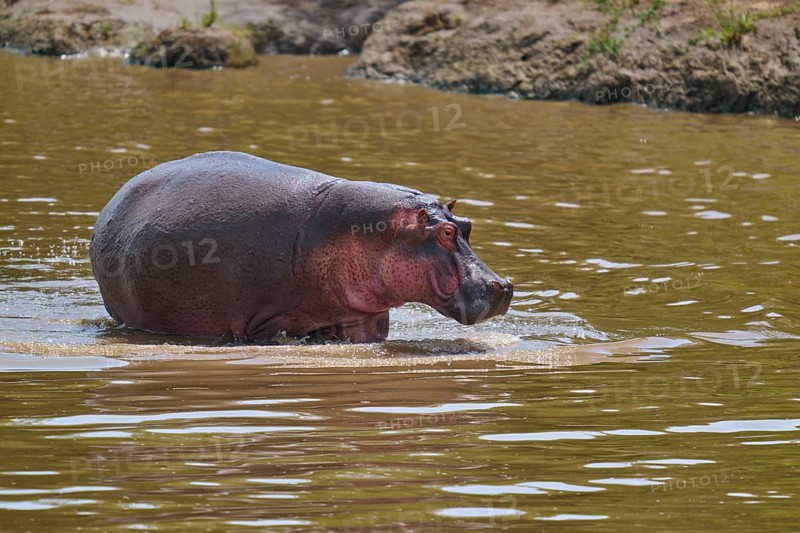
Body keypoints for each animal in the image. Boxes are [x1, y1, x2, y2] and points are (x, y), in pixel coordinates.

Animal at [90, 151, 513, 343]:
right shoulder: (268, 320)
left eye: (467, 225)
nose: (504, 286)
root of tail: (114, 199)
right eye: (445, 233)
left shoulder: (365, 318)